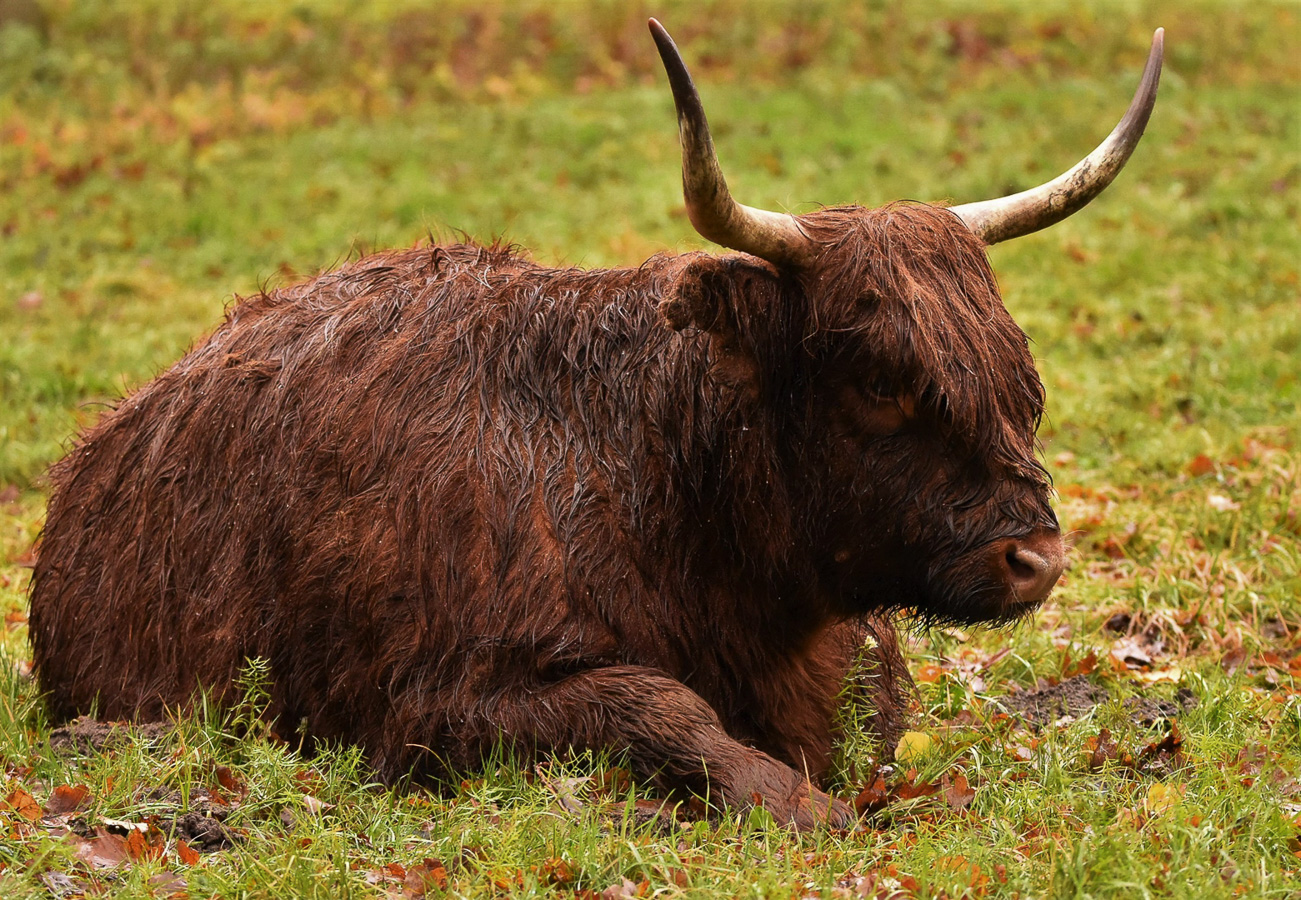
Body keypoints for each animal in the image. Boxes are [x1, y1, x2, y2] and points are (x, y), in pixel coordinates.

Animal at [25, 21, 1165, 827]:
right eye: (881, 380)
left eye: (1018, 374)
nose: (1033, 558)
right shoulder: (425, 702)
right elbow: (659, 706)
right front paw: (803, 808)